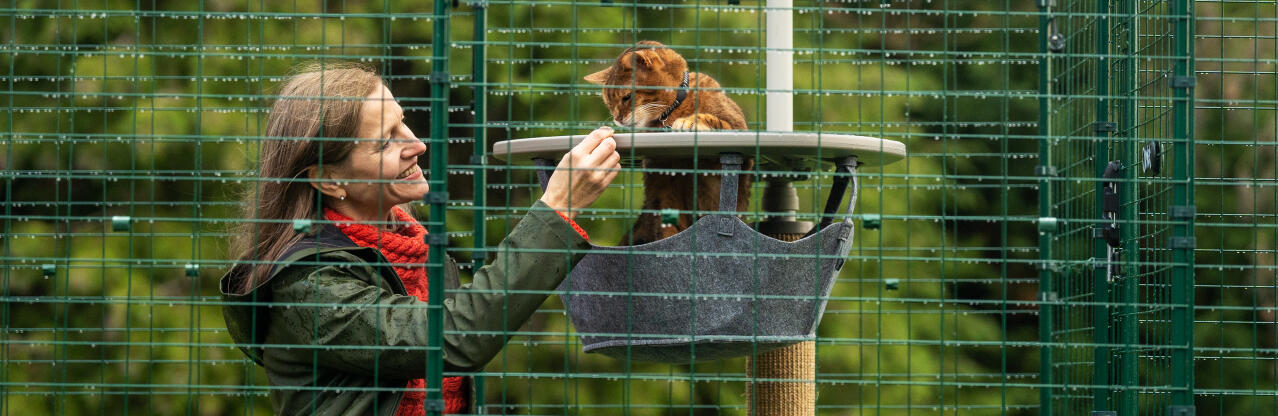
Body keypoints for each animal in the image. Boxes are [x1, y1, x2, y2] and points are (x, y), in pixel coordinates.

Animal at [585, 40, 751, 243]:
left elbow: (717, 121)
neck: (673, 110)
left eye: (626, 97)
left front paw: (690, 122)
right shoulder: (662, 189)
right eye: (609, 103)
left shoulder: (738, 129)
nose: (617, 119)